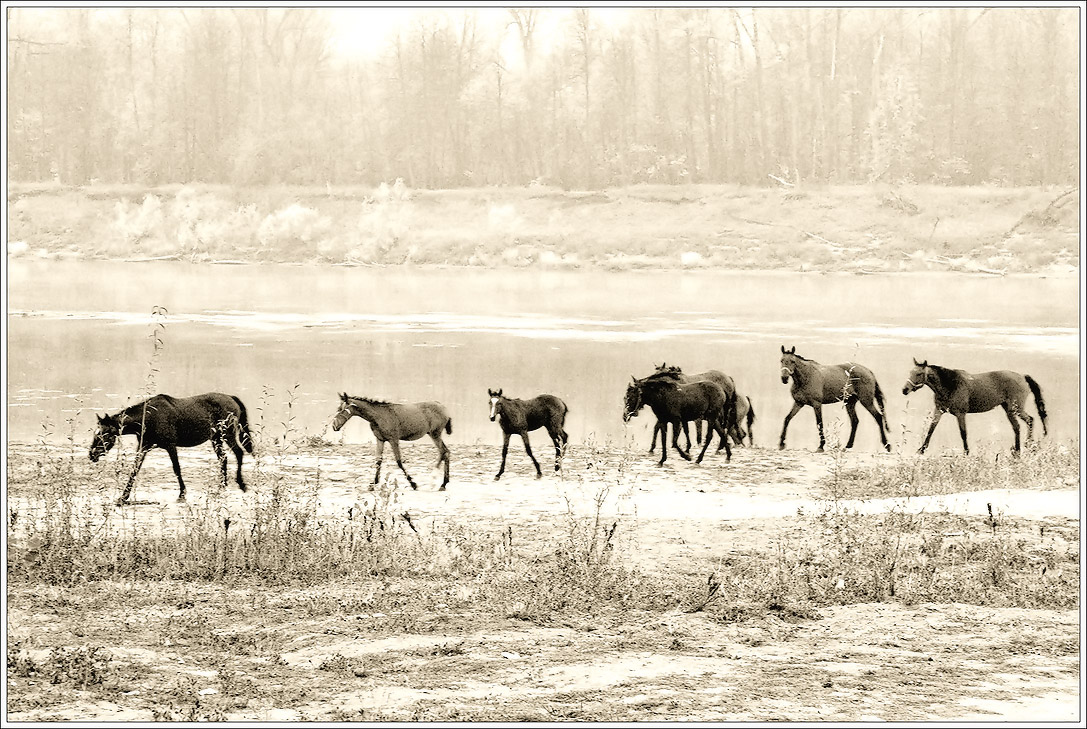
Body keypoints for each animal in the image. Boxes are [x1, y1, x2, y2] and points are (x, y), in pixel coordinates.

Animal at [88, 391, 253, 504]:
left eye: (104, 434)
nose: (92, 455)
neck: (149, 417)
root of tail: (231, 397)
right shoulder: (143, 447)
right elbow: (135, 469)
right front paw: (123, 497)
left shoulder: (170, 446)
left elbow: (176, 469)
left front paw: (182, 494)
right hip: (216, 438)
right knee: (223, 458)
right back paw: (222, 486)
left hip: (228, 434)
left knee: (239, 453)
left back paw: (241, 484)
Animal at [900, 356, 1043, 454]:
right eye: (910, 372)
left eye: (919, 374)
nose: (904, 390)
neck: (950, 385)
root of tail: (1023, 377)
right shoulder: (938, 410)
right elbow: (931, 428)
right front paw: (921, 449)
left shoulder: (960, 414)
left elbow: (963, 433)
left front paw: (966, 452)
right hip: (1009, 409)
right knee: (1023, 424)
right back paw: (1024, 447)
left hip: (1014, 409)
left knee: (1025, 422)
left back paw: (1022, 448)